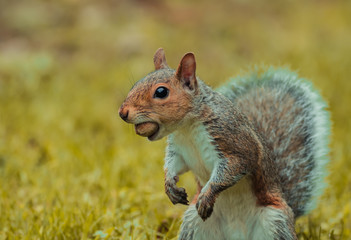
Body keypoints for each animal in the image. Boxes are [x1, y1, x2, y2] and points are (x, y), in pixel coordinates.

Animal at [119, 48, 332, 240]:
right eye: (135, 84)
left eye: (161, 92)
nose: (122, 112)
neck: (186, 128)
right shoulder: (179, 151)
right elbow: (173, 165)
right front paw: (169, 185)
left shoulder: (233, 140)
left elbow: (232, 167)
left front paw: (207, 195)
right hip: (193, 224)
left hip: (274, 221)